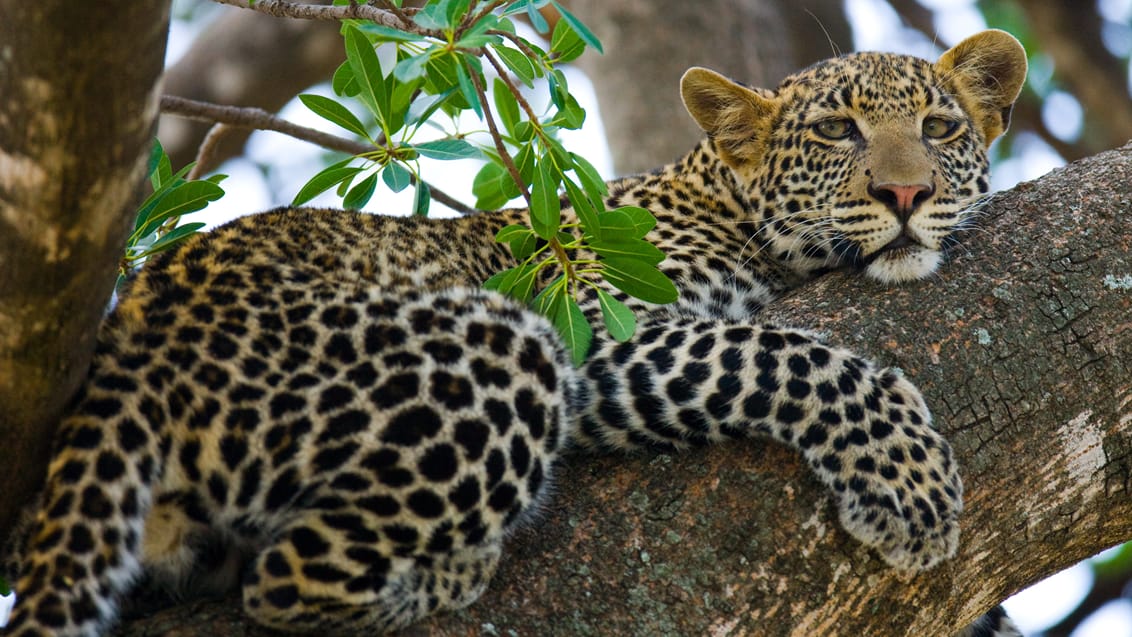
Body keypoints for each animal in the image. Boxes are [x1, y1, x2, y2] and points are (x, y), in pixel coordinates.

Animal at [2, 28, 1027, 637]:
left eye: (939, 127)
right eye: (835, 133)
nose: (907, 195)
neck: (725, 205)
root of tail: (135, 331)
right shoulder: (606, 336)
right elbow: (785, 354)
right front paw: (908, 481)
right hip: (501, 349)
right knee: (288, 582)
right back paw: (453, 571)